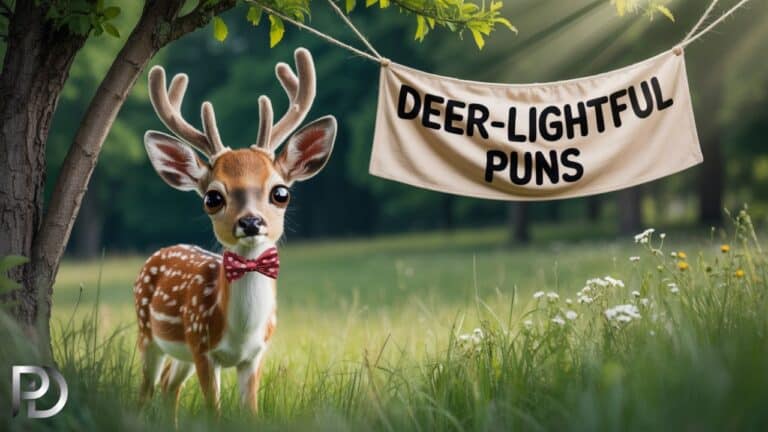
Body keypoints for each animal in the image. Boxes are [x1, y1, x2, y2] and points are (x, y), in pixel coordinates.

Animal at [132, 48, 335, 415]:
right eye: (213, 197)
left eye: (281, 192)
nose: (251, 222)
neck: (240, 332)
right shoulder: (201, 347)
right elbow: (214, 412)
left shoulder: (254, 356)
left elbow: (250, 412)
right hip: (147, 333)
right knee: (146, 390)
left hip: (179, 354)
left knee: (169, 386)